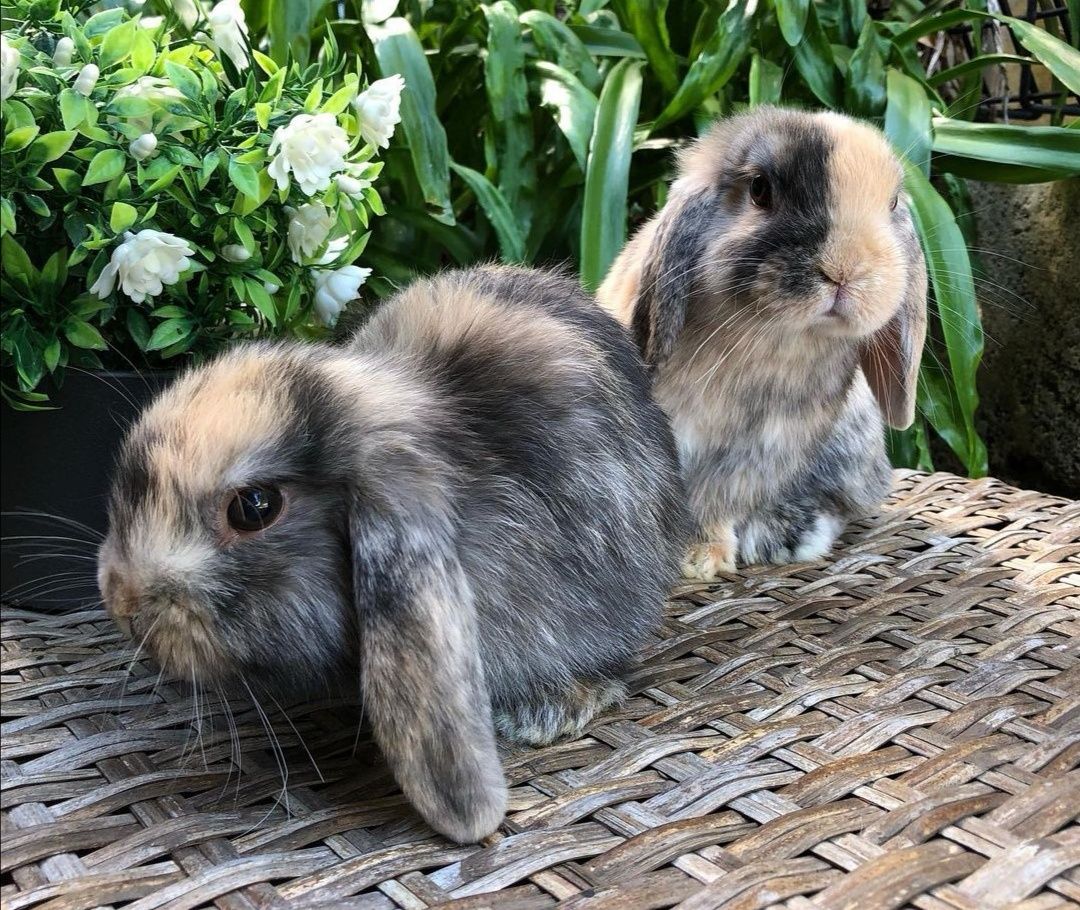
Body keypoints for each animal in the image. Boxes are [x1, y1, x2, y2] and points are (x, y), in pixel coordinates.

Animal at [596, 106, 924, 578]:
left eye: (893, 201)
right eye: (760, 189)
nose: (845, 269)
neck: (772, 345)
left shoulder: (757, 456)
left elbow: (719, 503)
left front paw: (701, 556)